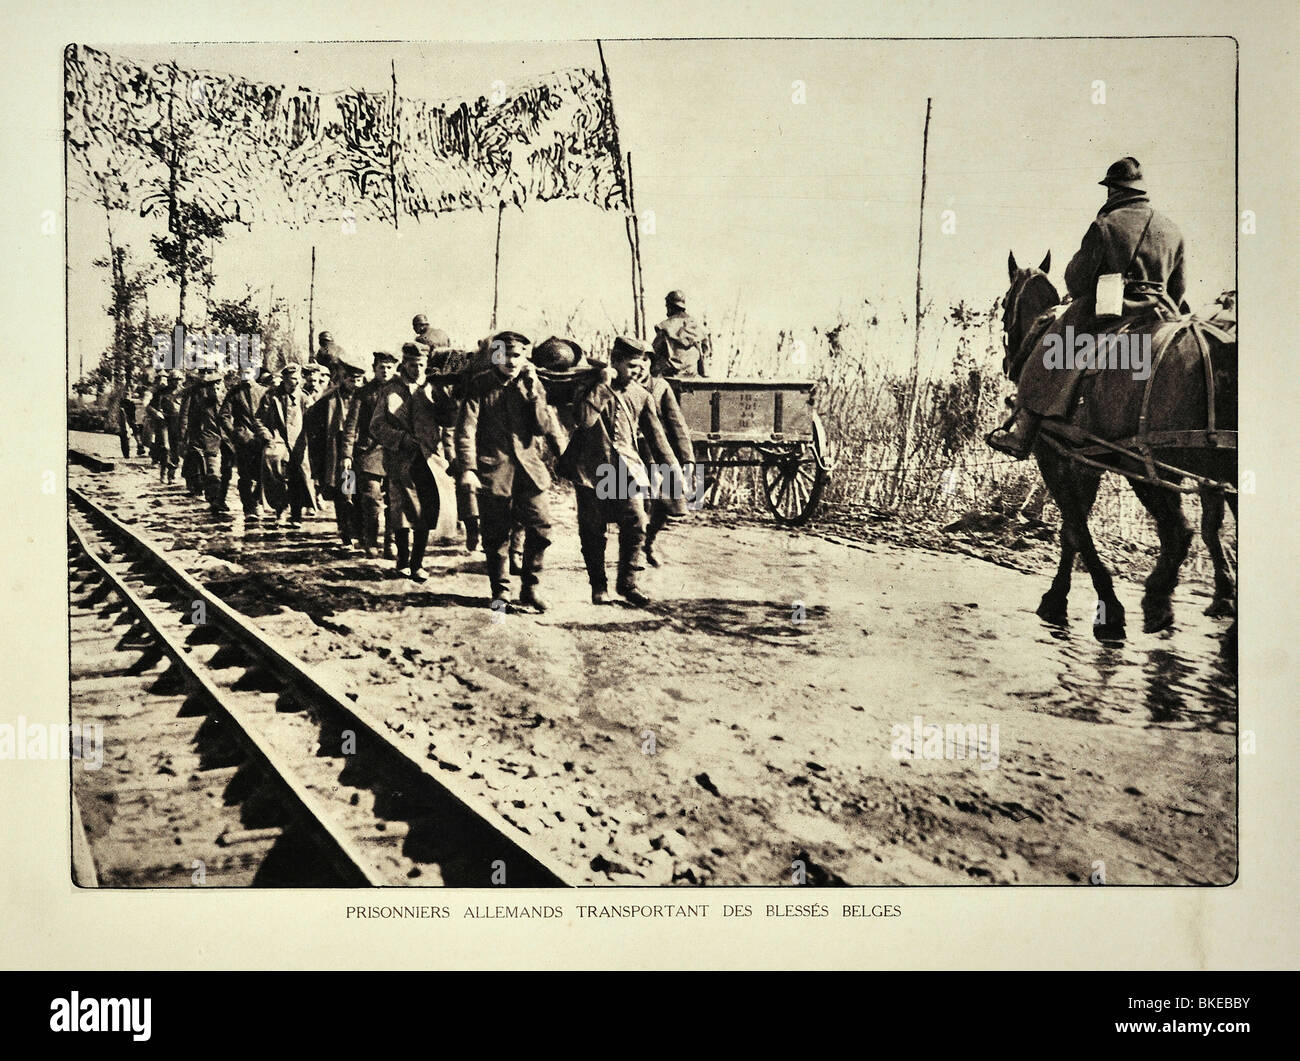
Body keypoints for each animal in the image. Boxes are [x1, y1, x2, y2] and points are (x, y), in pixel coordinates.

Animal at [993, 252, 1237, 634]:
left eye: (1005, 303)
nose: (1008, 362)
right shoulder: (1088, 461)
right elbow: (1071, 531)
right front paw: (1061, 596)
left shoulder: (1055, 458)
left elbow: (1076, 528)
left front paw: (1096, 603)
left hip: (1145, 464)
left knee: (1180, 532)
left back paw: (1159, 601)